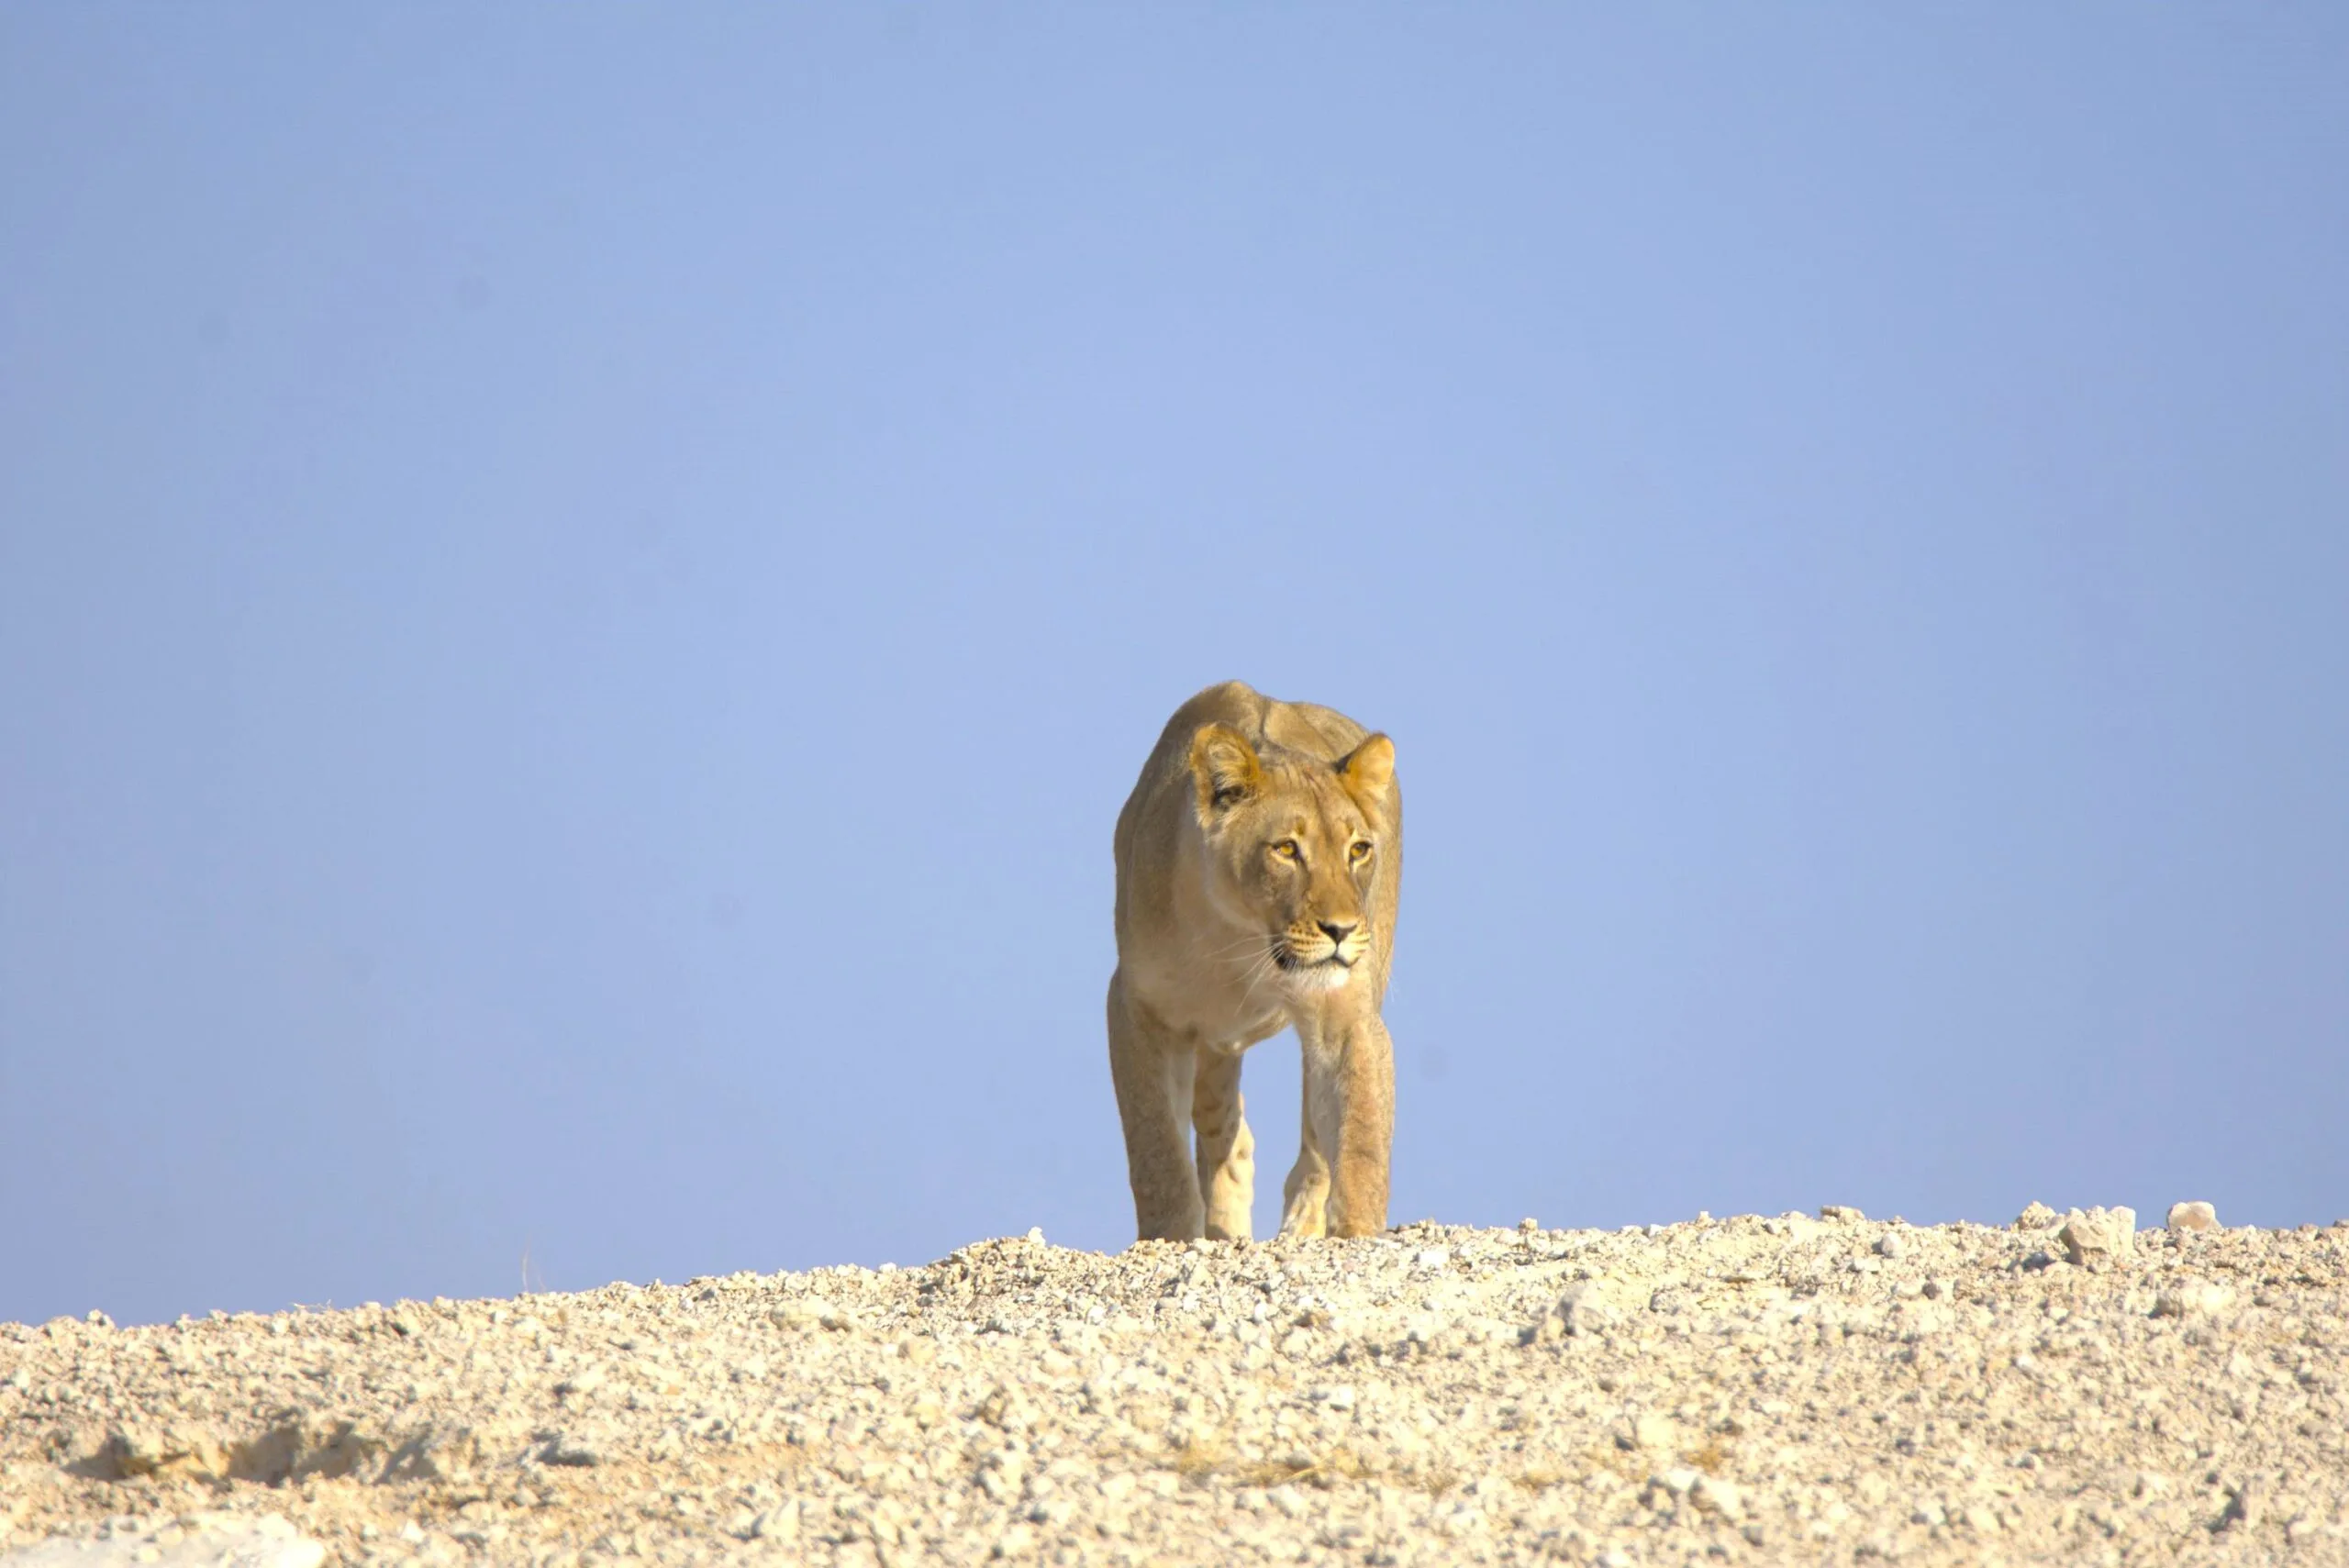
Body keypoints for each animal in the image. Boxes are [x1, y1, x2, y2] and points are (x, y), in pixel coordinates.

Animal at [1107, 680, 1401, 1241]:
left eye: (1358, 850)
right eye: (1286, 849)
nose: (1341, 930)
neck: (1242, 939)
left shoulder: (1345, 1015)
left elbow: (1360, 1138)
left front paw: (1356, 1234)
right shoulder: (1136, 1008)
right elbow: (1156, 1149)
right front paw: (1169, 1238)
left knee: (1312, 1149)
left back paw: (1300, 1227)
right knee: (1226, 1137)